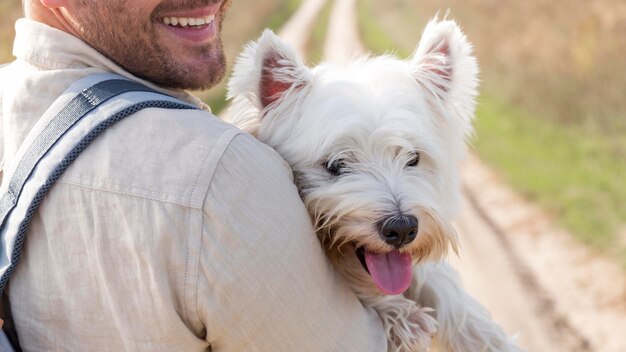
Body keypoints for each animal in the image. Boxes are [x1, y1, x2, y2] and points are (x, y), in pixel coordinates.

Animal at [227, 18, 520, 352]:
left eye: (413, 158)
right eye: (336, 165)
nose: (402, 229)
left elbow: (446, 290)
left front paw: (488, 339)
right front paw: (402, 315)